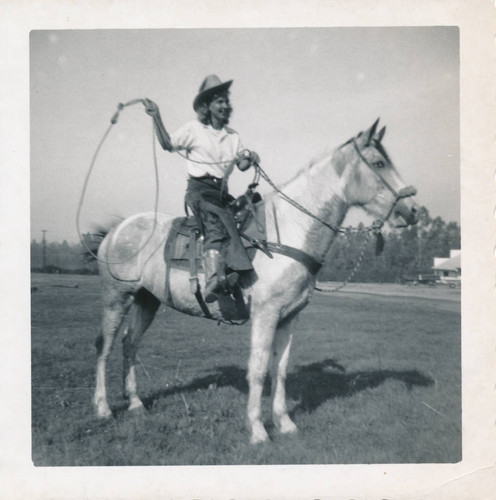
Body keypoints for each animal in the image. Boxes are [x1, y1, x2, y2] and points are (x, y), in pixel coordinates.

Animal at [93, 119, 418, 444]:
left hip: (146, 300)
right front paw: (258, 430)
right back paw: (103, 408)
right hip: (116, 297)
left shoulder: (289, 317)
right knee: (104, 345)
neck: (288, 231)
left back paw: (135, 403)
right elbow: (259, 370)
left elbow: (280, 369)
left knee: (130, 343)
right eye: (379, 163)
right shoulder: (265, 314)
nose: (412, 211)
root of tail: (116, 229)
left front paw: (285, 423)